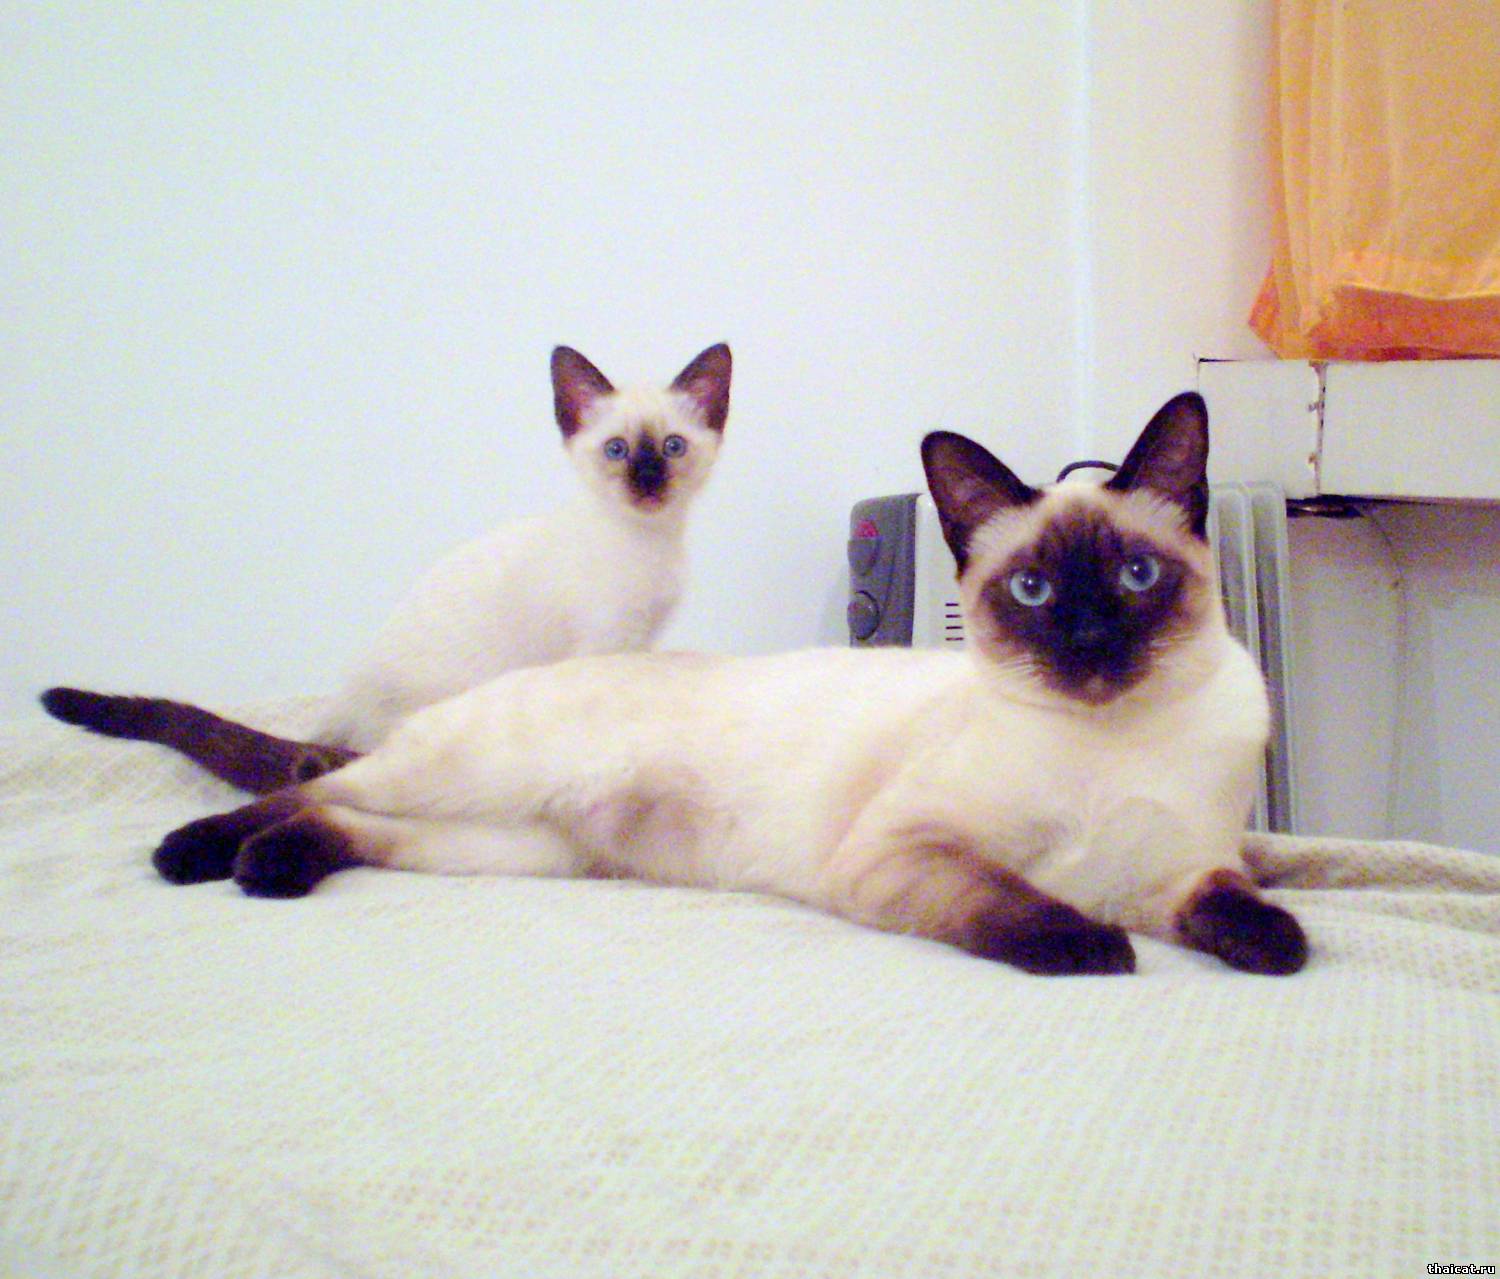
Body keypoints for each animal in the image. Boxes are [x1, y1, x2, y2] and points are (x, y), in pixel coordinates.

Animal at [41, 342, 732, 791]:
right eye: (617, 451)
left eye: (672, 448)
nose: (648, 482)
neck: (648, 541)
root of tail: (347, 712)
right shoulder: (606, 645)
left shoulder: (641, 640)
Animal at [148, 391, 1307, 977]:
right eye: (1031, 588)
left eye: (1135, 577)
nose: (1090, 637)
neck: (1111, 738)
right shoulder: (911, 853)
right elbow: (1029, 908)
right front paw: (1097, 949)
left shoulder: (1173, 872)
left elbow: (1245, 905)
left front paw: (1276, 942)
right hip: (458, 780)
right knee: (315, 783)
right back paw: (194, 854)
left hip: (516, 848)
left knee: (345, 822)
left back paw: (272, 869)